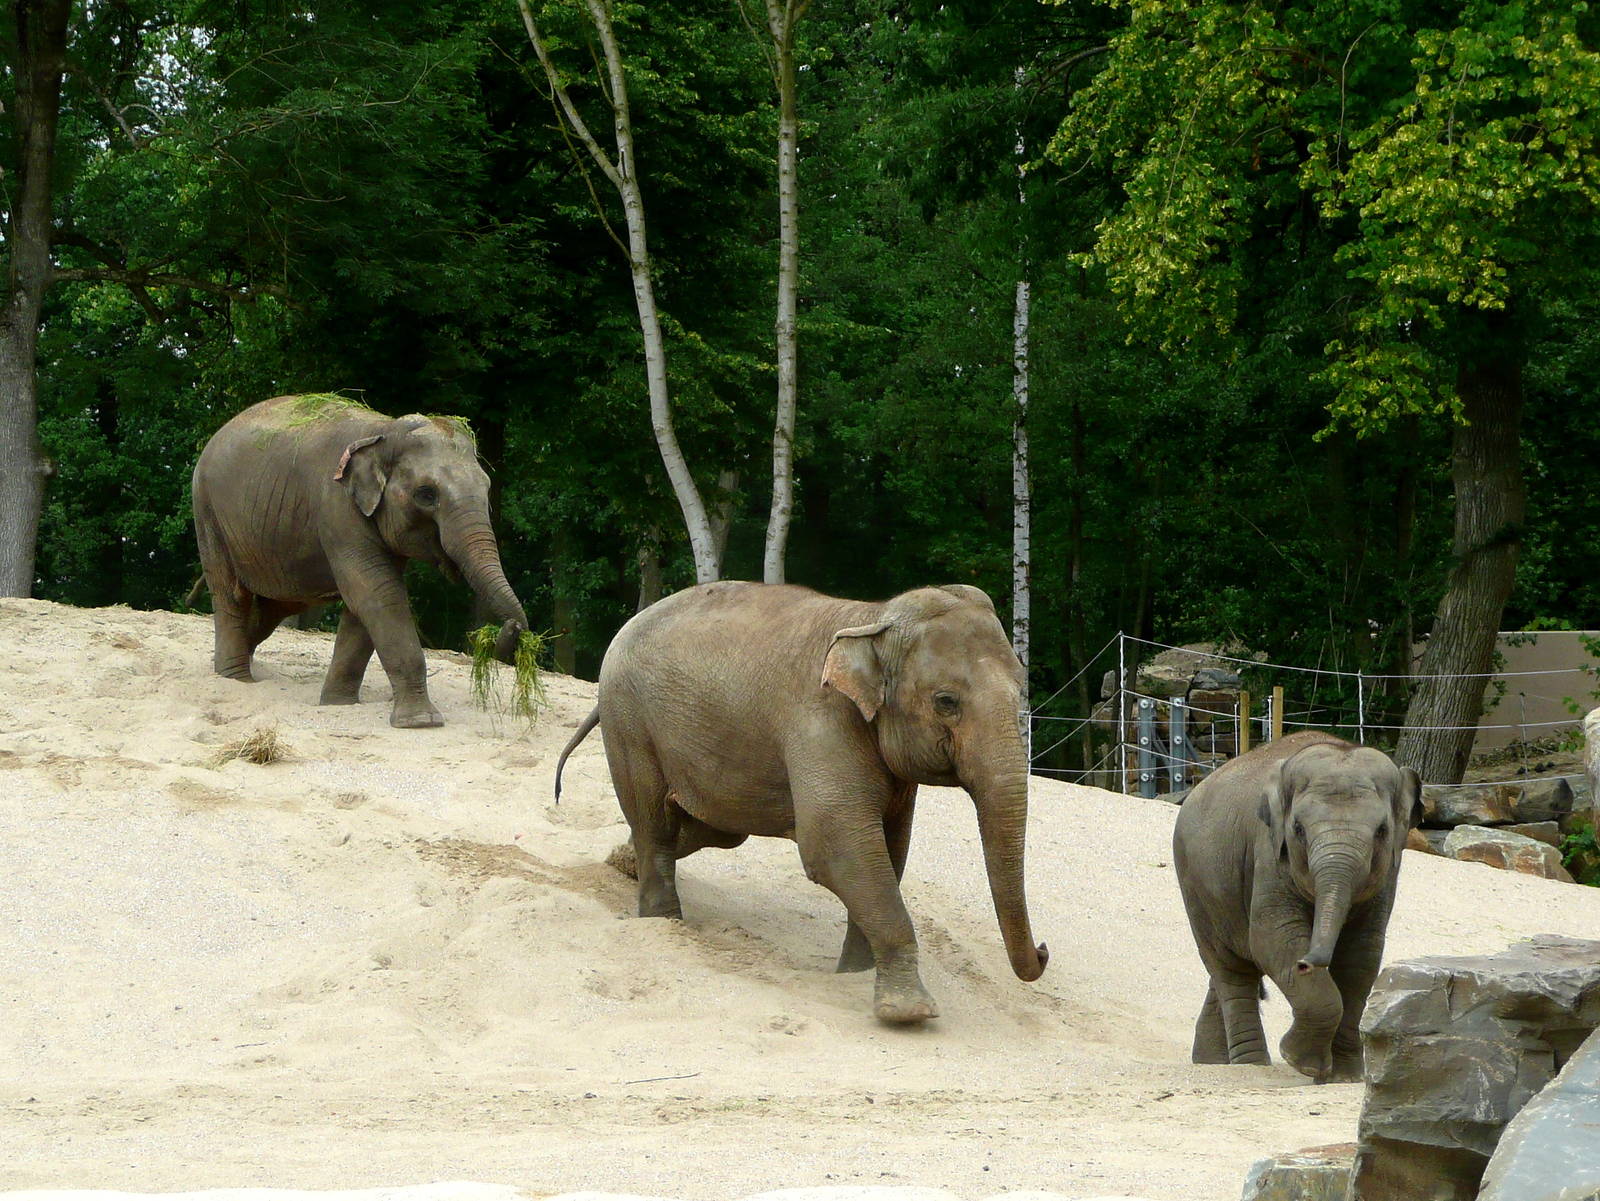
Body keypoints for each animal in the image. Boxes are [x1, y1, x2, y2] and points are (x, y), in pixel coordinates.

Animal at [191, 394, 528, 727]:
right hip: (207, 511)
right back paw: (236, 678)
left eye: (487, 488)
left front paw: (338, 704)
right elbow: (378, 593)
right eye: (426, 494)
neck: (383, 431)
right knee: (231, 593)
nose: (514, 627)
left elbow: (364, 604)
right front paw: (422, 721)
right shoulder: (338, 508)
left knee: (278, 606)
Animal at [554, 580, 1049, 1024]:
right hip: (629, 721)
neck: (872, 617)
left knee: (711, 828)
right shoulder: (821, 721)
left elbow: (889, 850)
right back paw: (664, 922)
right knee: (655, 823)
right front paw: (908, 1012)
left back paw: (622, 862)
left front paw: (855, 973)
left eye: (1020, 690)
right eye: (946, 701)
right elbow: (836, 847)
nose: (1044, 951)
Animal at [1172, 729, 1421, 1082]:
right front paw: (1303, 1063)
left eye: (1382, 831)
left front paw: (1343, 1076)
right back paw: (1250, 1065)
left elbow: (1361, 955)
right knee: (1230, 969)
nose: (1306, 963)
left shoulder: (1388, 874)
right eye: (1299, 829)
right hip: (1195, 886)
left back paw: (1211, 1061)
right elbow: (1274, 939)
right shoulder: (1269, 851)